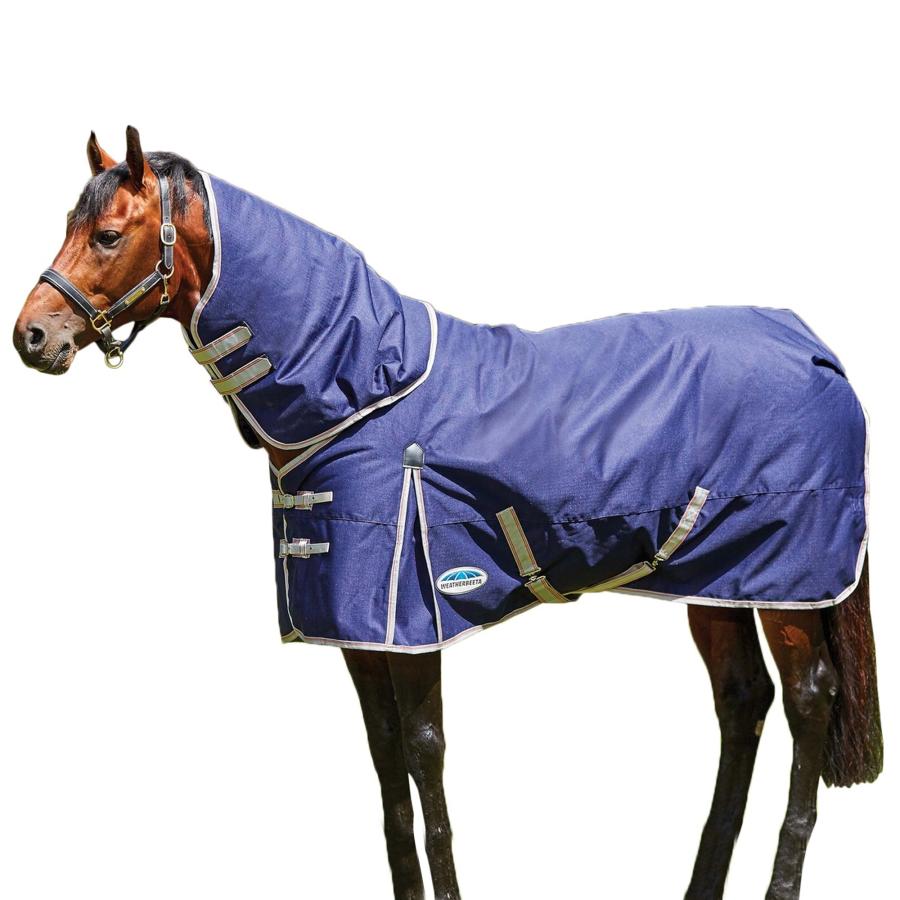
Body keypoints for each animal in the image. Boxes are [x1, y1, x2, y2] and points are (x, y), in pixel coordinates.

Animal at [13, 127, 882, 900]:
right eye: (68, 225)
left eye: (107, 234)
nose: (32, 337)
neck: (360, 391)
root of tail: (816, 349)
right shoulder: (358, 636)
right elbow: (389, 777)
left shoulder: (411, 617)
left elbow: (426, 765)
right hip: (718, 582)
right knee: (742, 703)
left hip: (790, 584)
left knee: (809, 702)